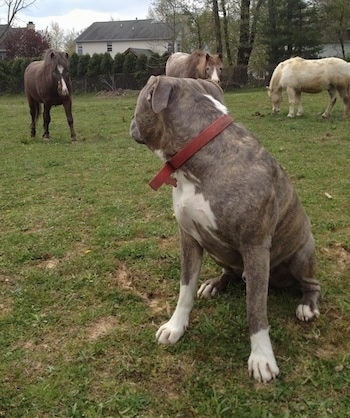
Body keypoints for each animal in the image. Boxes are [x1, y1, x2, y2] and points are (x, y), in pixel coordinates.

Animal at [130, 75, 322, 382]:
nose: (130, 122)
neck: (198, 155)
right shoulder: (189, 238)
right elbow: (184, 289)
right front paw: (175, 326)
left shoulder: (255, 247)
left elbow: (255, 309)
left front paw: (262, 358)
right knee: (229, 272)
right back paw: (215, 284)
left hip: (302, 252)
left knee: (311, 284)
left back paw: (307, 304)